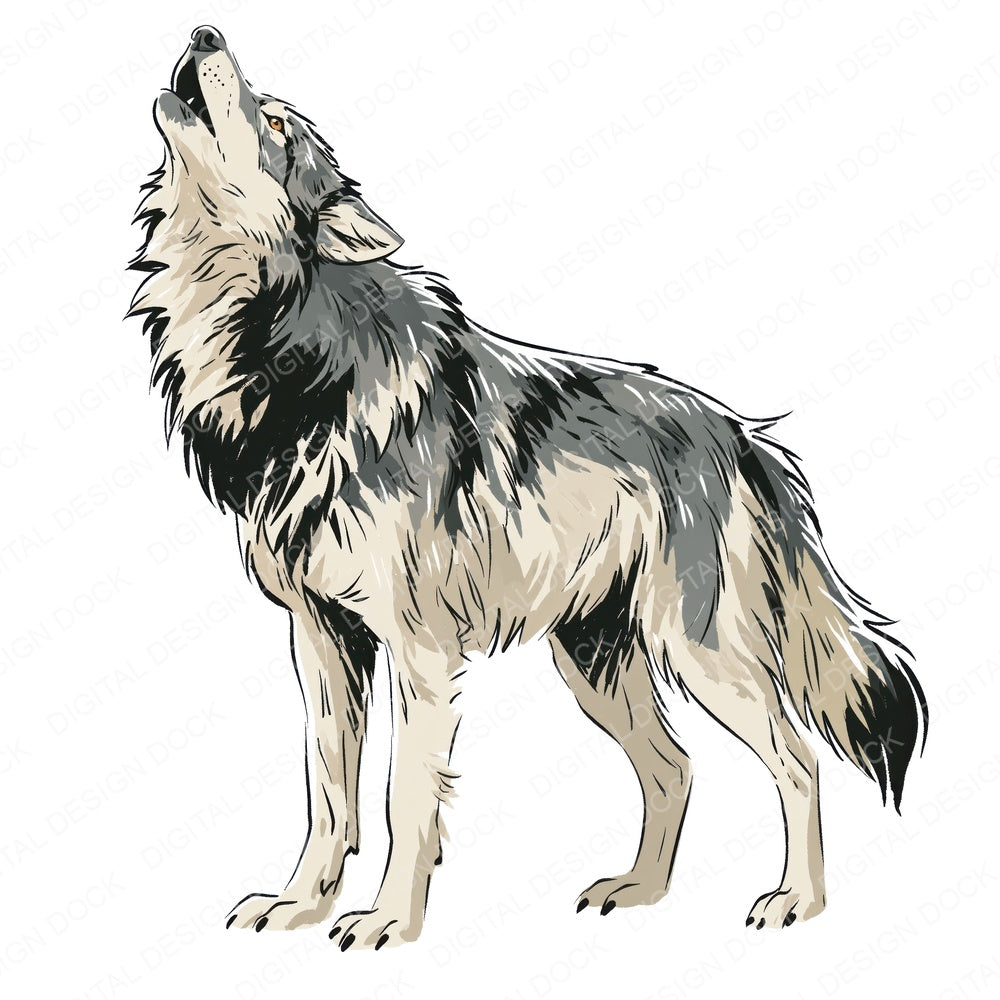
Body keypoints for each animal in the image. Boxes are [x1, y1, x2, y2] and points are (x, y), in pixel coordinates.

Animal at [129, 26, 927, 950]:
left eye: (278, 123)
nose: (206, 33)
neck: (292, 352)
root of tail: (744, 437)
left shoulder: (418, 650)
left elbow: (404, 798)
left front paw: (388, 921)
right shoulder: (319, 637)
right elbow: (328, 792)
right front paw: (299, 904)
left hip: (700, 652)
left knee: (797, 760)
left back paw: (797, 899)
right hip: (593, 664)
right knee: (675, 766)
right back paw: (640, 890)